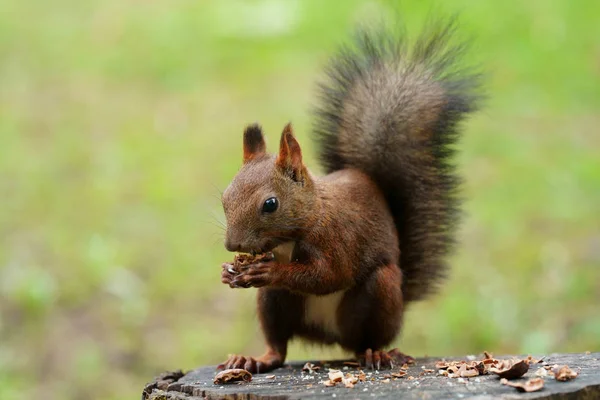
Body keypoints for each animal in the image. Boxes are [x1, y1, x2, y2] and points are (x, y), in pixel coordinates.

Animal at [218, 18, 480, 376]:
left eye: (270, 204)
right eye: (224, 196)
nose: (233, 245)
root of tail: (329, 337)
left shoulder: (338, 239)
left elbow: (328, 275)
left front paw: (270, 272)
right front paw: (228, 272)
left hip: (380, 294)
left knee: (366, 338)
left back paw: (376, 354)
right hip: (273, 302)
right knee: (278, 345)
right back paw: (254, 359)